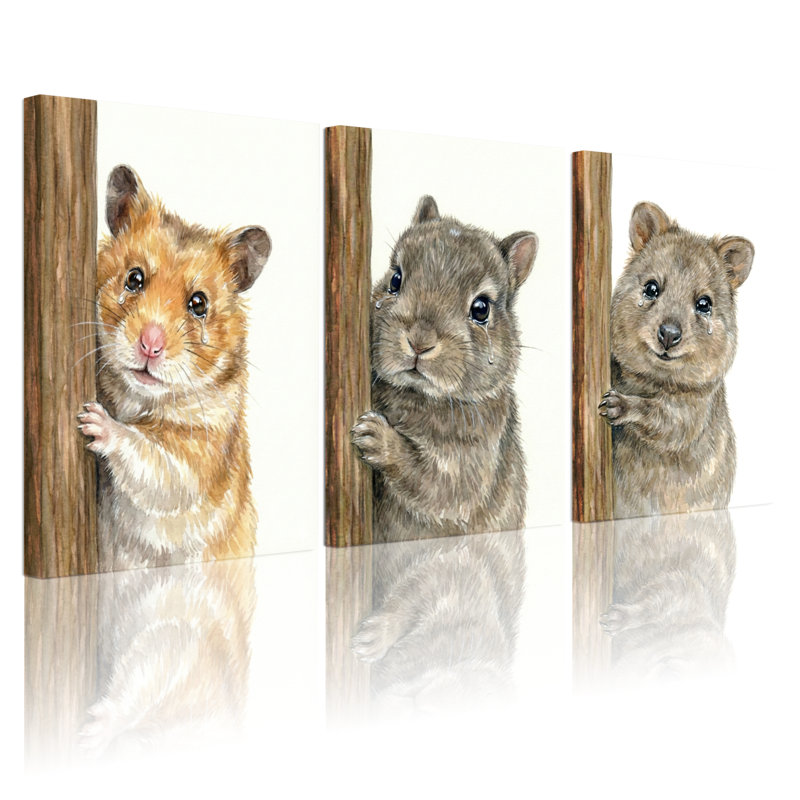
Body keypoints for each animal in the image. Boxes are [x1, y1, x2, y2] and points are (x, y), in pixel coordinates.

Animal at [78, 165, 270, 571]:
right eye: (134, 278)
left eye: (198, 303)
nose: (150, 346)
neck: (137, 398)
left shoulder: (199, 453)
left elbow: (154, 461)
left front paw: (92, 421)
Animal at [351, 196, 537, 541]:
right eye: (395, 279)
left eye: (481, 309)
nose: (419, 342)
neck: (416, 394)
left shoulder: (470, 463)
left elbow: (434, 484)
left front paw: (372, 435)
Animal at [599, 201, 753, 518]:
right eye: (651, 288)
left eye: (704, 304)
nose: (669, 334)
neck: (649, 379)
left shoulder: (696, 410)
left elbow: (668, 423)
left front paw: (618, 405)